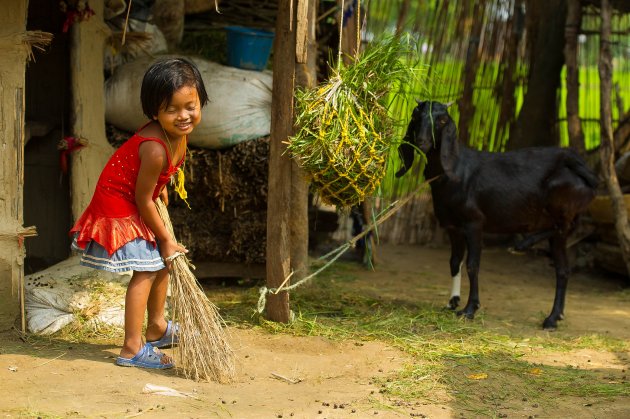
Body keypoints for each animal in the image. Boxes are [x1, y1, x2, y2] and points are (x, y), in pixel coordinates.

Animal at [398, 100, 600, 330]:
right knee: (563, 268)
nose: (421, 142)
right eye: (416, 117)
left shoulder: (474, 223)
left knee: (567, 227)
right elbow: (454, 261)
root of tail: (582, 169)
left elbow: (472, 265)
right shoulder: (452, 226)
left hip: (561, 202)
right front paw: (452, 303)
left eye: (441, 120)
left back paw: (523, 246)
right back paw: (553, 317)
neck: (455, 171)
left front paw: (469, 309)